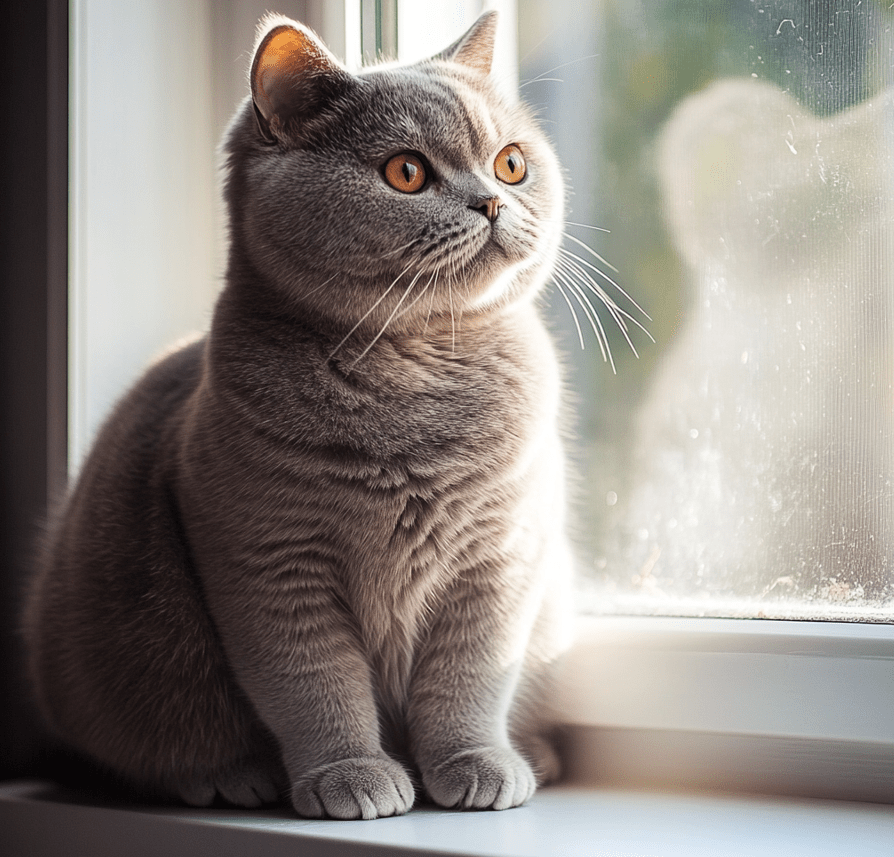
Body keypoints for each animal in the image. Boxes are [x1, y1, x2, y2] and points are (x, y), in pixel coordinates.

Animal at [26, 11, 580, 816]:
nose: (494, 201)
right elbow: (314, 687)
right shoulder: (272, 569)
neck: (413, 370)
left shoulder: (497, 561)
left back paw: (534, 753)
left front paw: (475, 763)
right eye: (406, 172)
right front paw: (349, 775)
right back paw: (229, 777)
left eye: (511, 165)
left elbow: (469, 680)